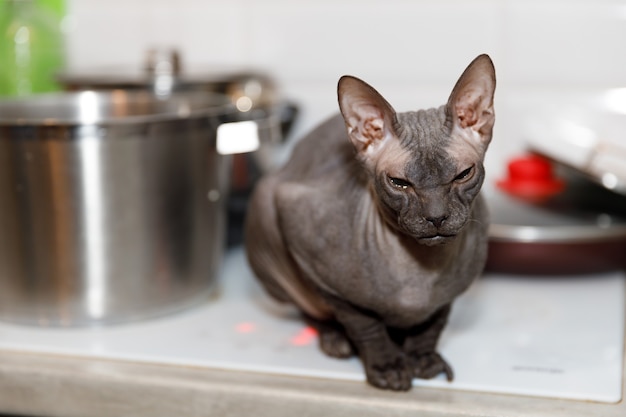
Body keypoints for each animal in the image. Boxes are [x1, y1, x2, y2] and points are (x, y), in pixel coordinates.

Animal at [244, 54, 492, 390]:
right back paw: (335, 338)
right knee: (305, 308)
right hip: (265, 208)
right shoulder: (304, 240)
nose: (436, 216)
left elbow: (433, 323)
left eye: (463, 174)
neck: (422, 271)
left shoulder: (449, 296)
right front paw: (387, 365)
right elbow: (364, 322)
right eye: (399, 183)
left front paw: (423, 358)